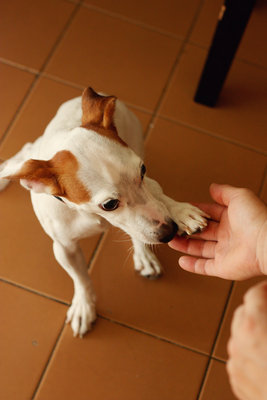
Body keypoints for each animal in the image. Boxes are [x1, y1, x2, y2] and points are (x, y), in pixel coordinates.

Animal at [0, 87, 208, 338]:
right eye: (109, 204)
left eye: (142, 170)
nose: (169, 232)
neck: (90, 215)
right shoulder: (64, 248)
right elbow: (81, 279)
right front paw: (84, 306)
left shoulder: (148, 182)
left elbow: (158, 196)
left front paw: (180, 210)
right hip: (30, 157)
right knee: (23, 155)